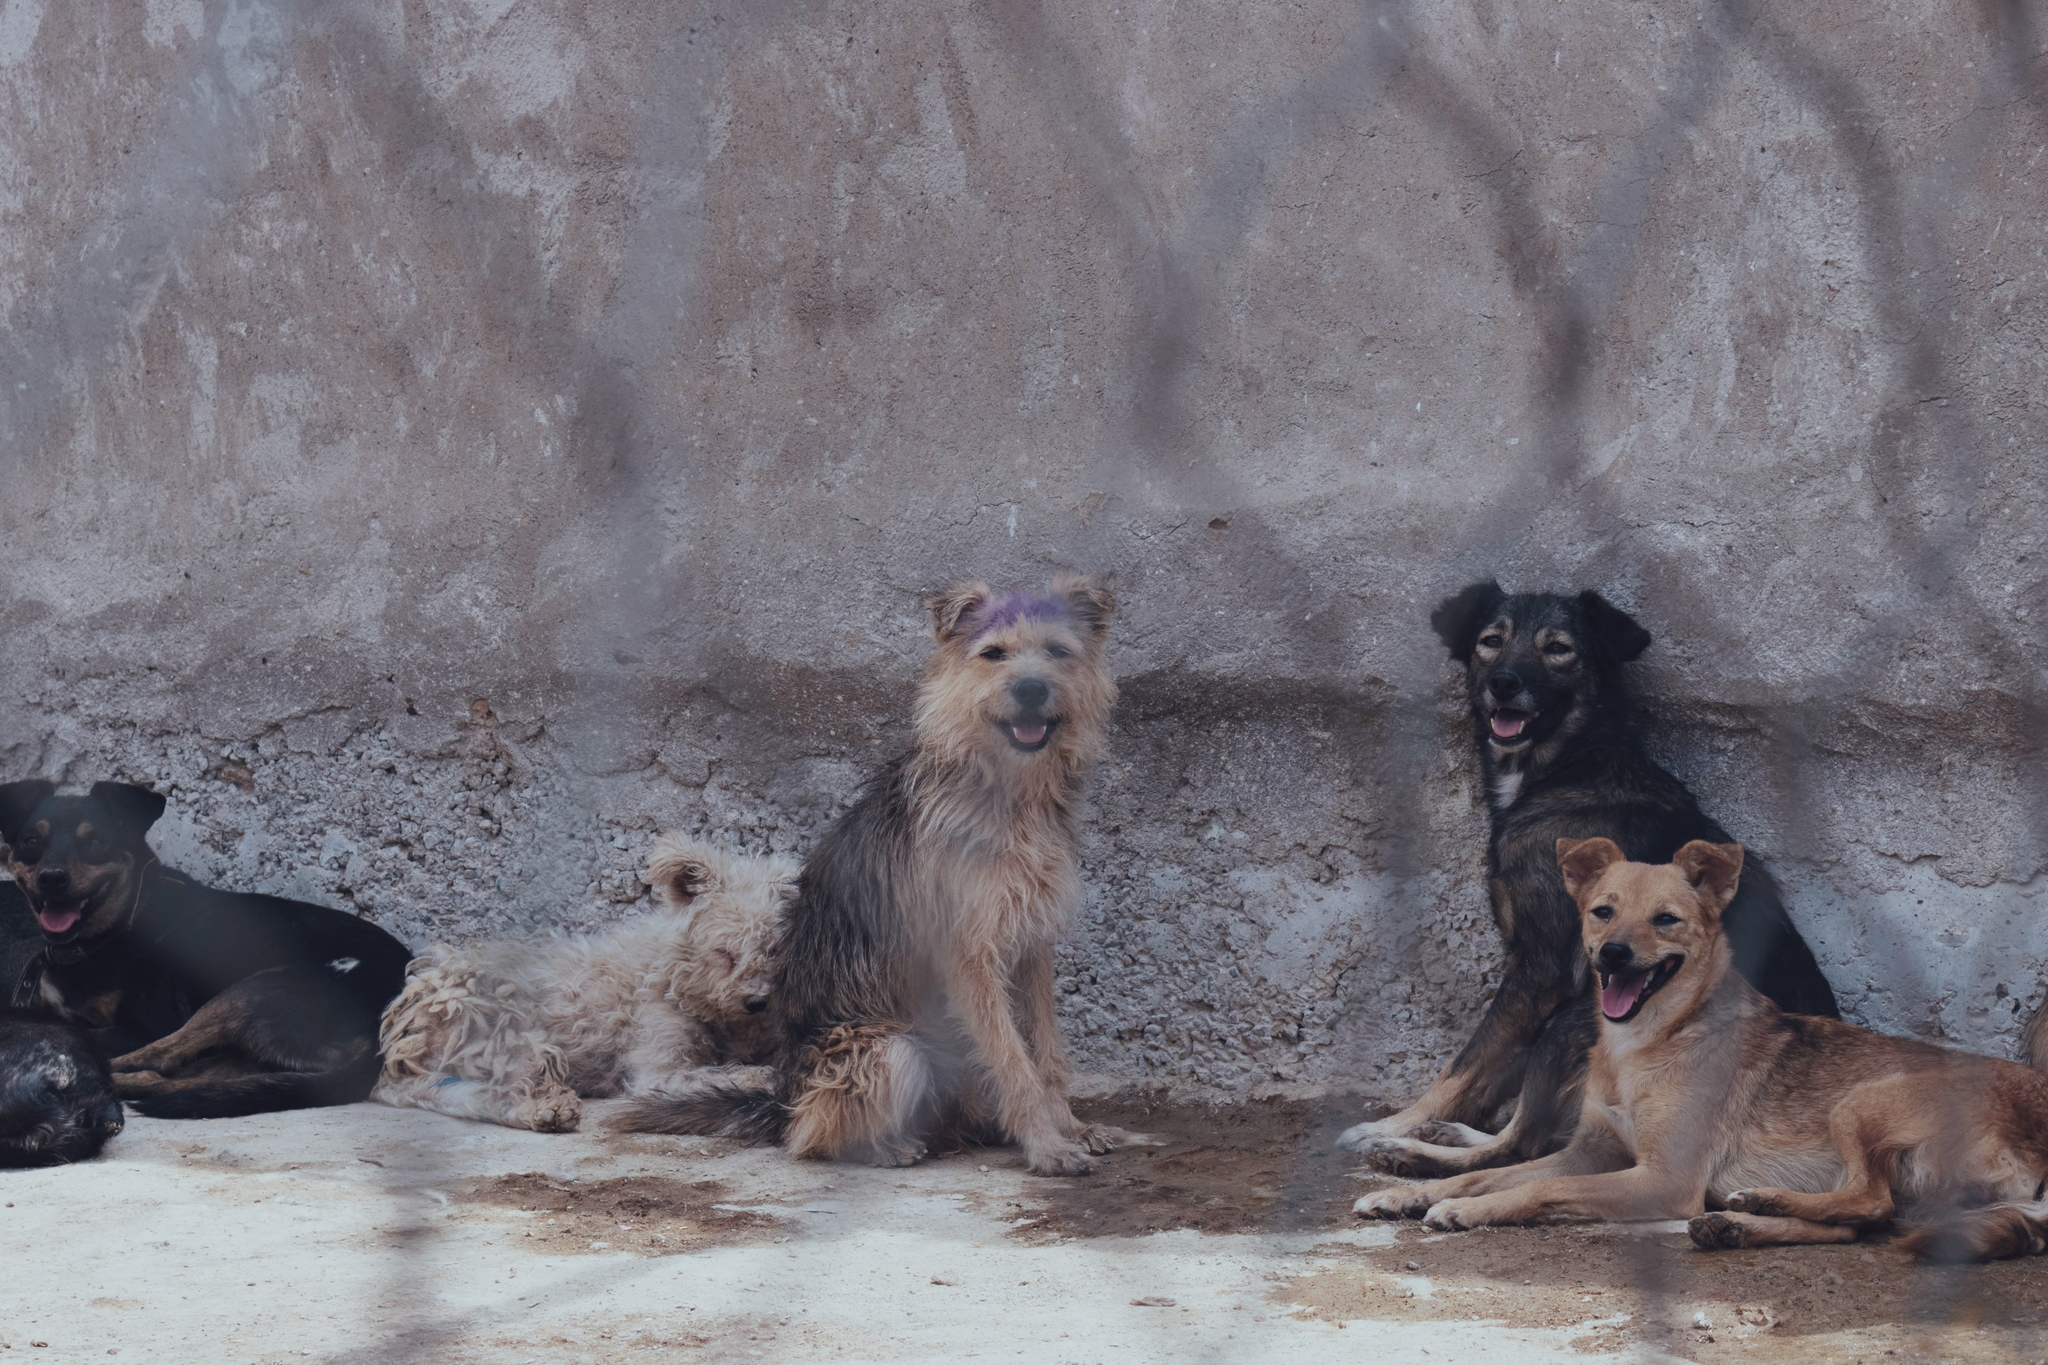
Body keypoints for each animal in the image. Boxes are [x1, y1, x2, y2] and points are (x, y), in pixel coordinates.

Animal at [0, 777, 411, 1121]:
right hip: (256, 1049)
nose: (51, 878)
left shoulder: (149, 1023)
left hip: (253, 992)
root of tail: (386, 1028)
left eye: (97, 841)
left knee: (158, 1059)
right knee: (175, 1078)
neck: (118, 927)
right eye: (30, 842)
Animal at [372, 839, 794, 1137]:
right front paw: (762, 1076)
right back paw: (547, 1111)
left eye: (772, 948)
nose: (757, 1001)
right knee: (497, 1094)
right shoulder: (657, 1071)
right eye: (724, 950)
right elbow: (732, 1072)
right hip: (511, 1036)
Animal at [1343, 581, 1843, 1178]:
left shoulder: (1544, 971)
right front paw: (1428, 1120)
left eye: (1558, 649)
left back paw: (1407, 1150)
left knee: (1521, 1146)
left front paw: (1392, 1124)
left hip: (1579, 1018)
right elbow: (1489, 1069)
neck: (1570, 768)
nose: (1502, 683)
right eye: (1491, 641)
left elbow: (1465, 1063)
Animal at [1359, 839, 2048, 1268]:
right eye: (1601, 912)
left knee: (1868, 1201)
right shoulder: (1591, 1151)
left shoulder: (1662, 1179)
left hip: (1864, 1100)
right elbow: (1495, 1172)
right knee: (1861, 1221)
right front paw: (1409, 1194)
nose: (1612, 955)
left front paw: (1464, 1209)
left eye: (1665, 920)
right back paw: (1739, 1222)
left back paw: (1758, 1205)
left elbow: (1534, 1188)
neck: (1648, 1044)